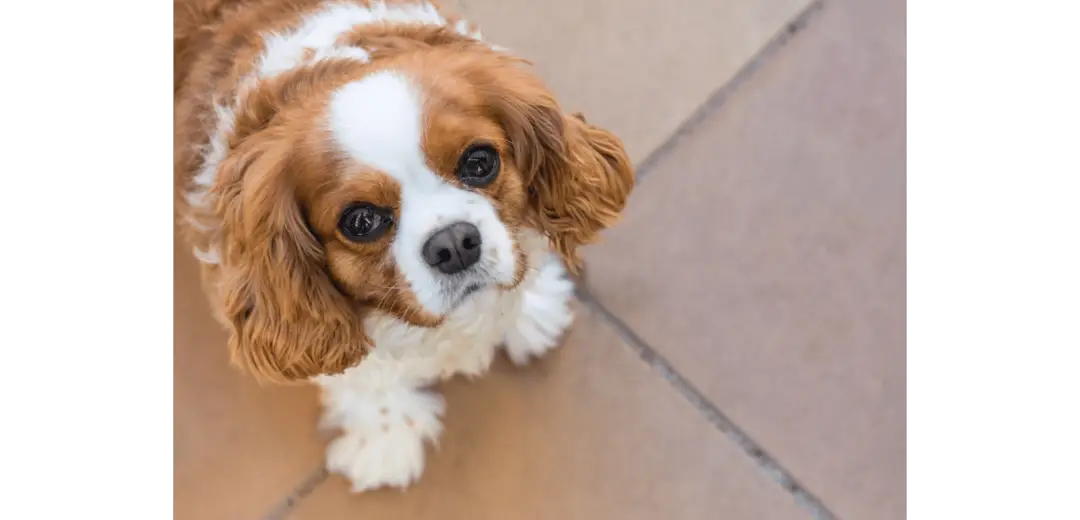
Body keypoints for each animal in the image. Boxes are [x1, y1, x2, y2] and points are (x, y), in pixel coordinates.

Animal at [172, 0, 635, 490]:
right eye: (360, 221)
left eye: (480, 162)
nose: (454, 243)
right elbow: (358, 373)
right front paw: (386, 432)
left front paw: (531, 310)